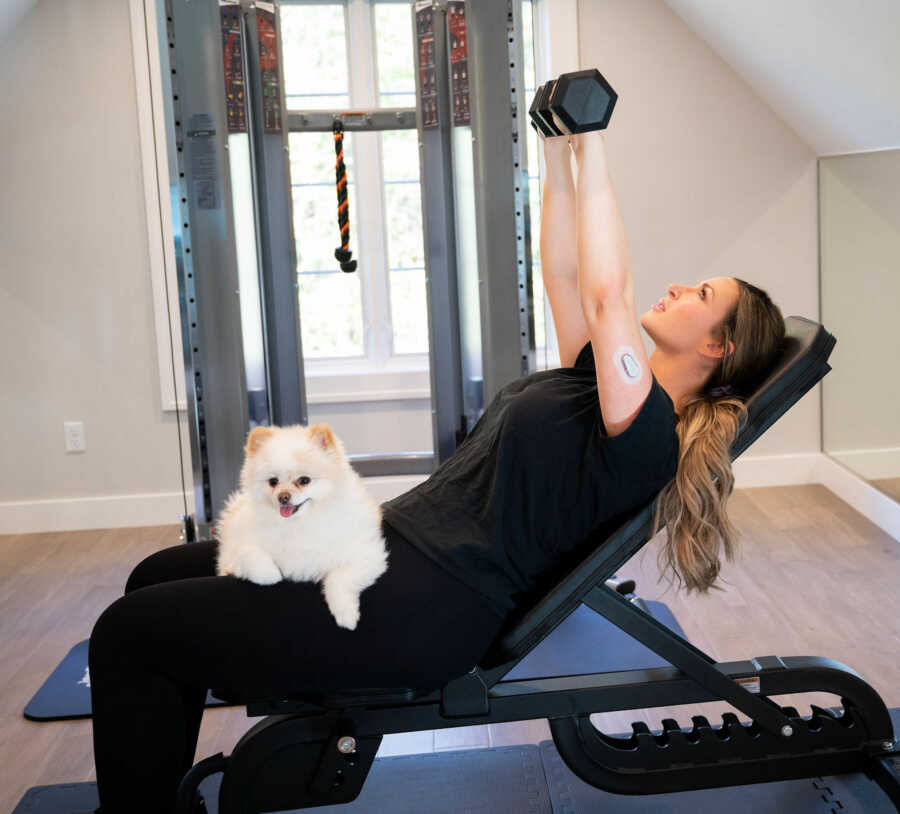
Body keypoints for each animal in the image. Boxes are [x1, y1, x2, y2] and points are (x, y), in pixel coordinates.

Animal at [217, 424, 390, 636]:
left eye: (304, 480)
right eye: (273, 482)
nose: (283, 496)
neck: (299, 523)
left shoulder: (367, 556)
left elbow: (339, 578)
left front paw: (346, 614)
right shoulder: (231, 561)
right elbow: (251, 556)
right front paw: (271, 574)